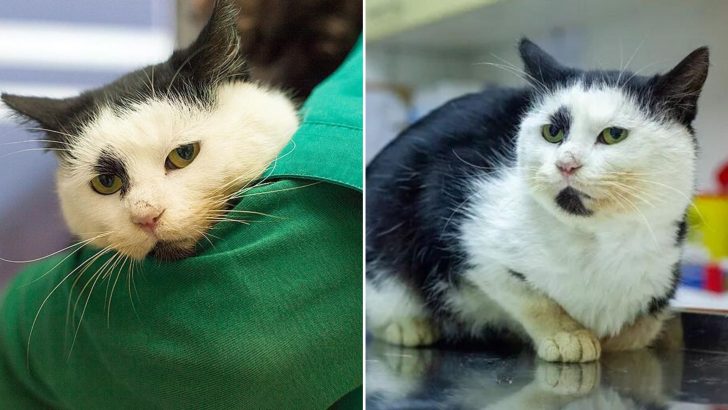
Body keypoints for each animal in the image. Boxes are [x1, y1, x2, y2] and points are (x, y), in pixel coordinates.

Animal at [366, 39, 708, 362]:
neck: (596, 240)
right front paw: (567, 335)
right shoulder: (459, 218)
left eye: (614, 135)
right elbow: (528, 295)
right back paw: (407, 326)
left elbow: (640, 330)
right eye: (552, 132)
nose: (567, 163)